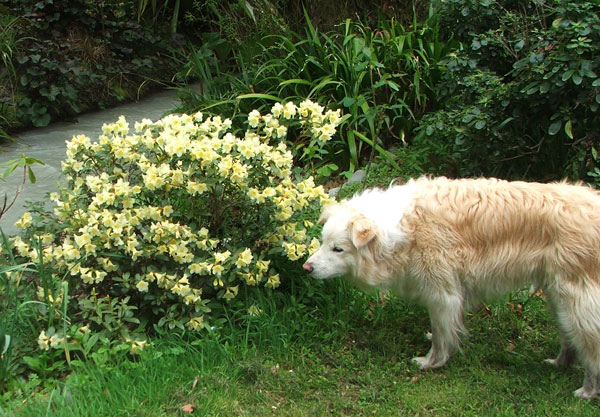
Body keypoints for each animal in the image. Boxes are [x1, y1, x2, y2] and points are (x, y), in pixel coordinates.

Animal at [302, 176, 600, 396]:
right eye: (322, 242)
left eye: (338, 249)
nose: (307, 268)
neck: (400, 230)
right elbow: (443, 328)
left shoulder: (443, 293)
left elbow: (442, 333)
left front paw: (431, 362)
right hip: (557, 297)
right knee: (570, 339)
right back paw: (560, 363)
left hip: (576, 300)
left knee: (591, 347)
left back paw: (587, 390)